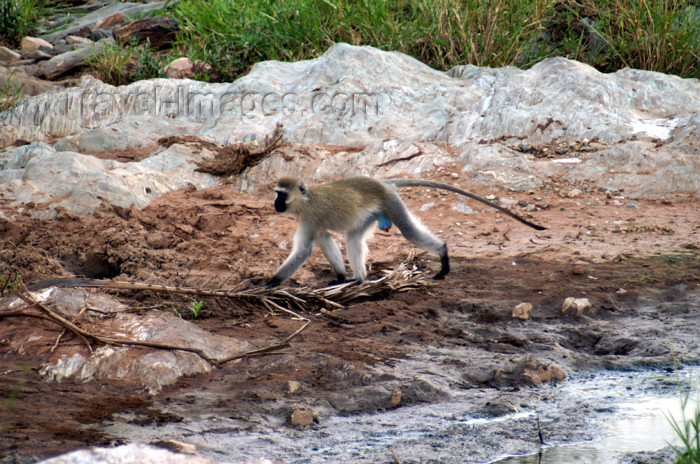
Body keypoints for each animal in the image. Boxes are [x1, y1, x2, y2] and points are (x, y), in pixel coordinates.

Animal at [266, 177, 544, 286]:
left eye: (281, 195)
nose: (275, 204)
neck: (306, 201)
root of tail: (383, 183)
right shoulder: (312, 221)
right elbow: (323, 240)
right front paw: (341, 276)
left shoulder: (310, 218)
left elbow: (304, 250)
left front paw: (269, 282)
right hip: (373, 213)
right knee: (353, 237)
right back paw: (358, 279)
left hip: (392, 204)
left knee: (410, 232)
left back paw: (443, 255)